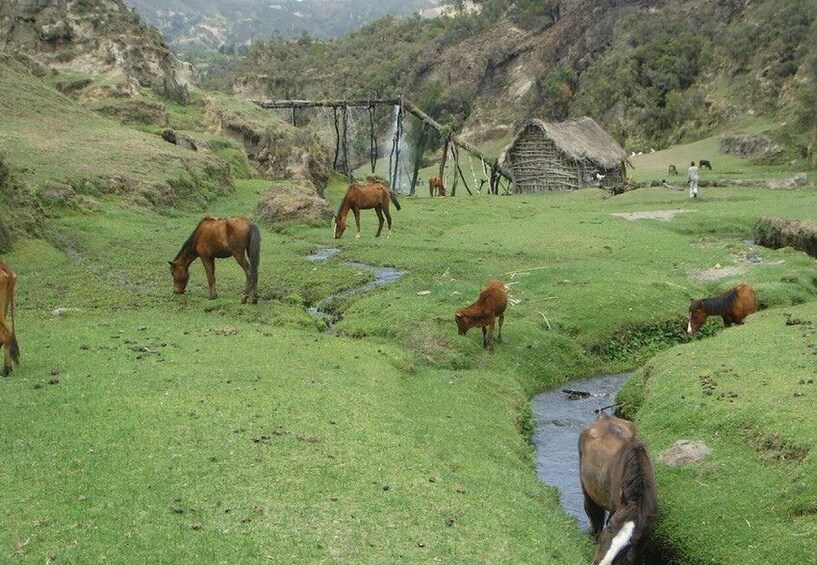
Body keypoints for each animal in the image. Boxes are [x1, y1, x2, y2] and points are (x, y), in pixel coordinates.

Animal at [579, 412, 658, 565]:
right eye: (609, 527)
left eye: (629, 544)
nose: (601, 563)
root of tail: (604, 416)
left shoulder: (644, 535)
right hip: (588, 494)